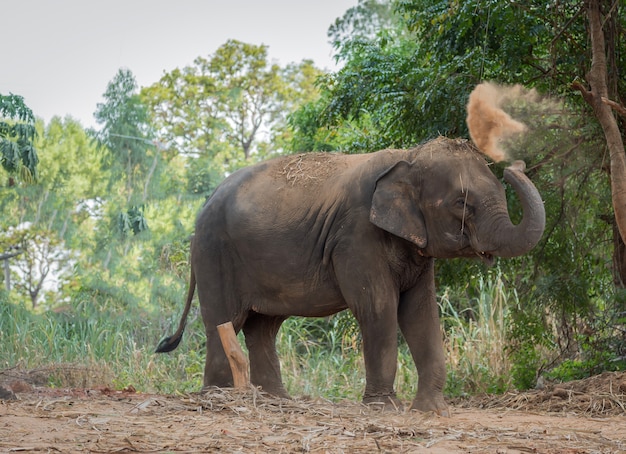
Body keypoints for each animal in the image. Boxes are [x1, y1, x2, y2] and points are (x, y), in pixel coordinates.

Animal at [156, 136, 540, 414]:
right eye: (461, 202)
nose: (516, 165)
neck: (408, 155)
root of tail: (202, 209)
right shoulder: (356, 236)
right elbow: (379, 307)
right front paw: (385, 408)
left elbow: (421, 313)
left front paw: (431, 411)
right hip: (215, 254)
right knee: (224, 321)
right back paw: (218, 398)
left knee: (263, 327)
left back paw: (276, 401)